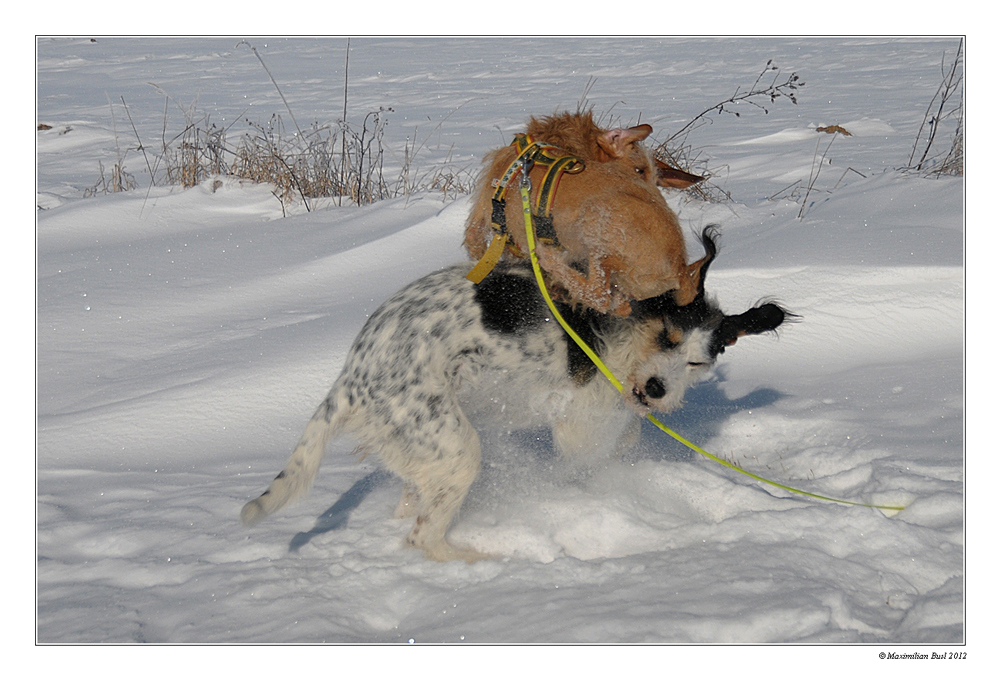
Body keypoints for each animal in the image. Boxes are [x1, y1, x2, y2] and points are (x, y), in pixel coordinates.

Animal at [464, 113, 708, 314]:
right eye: (640, 171)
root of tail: (680, 269)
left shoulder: (485, 210)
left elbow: (475, 243)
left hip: (597, 217)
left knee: (599, 295)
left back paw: (549, 259)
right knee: (619, 304)